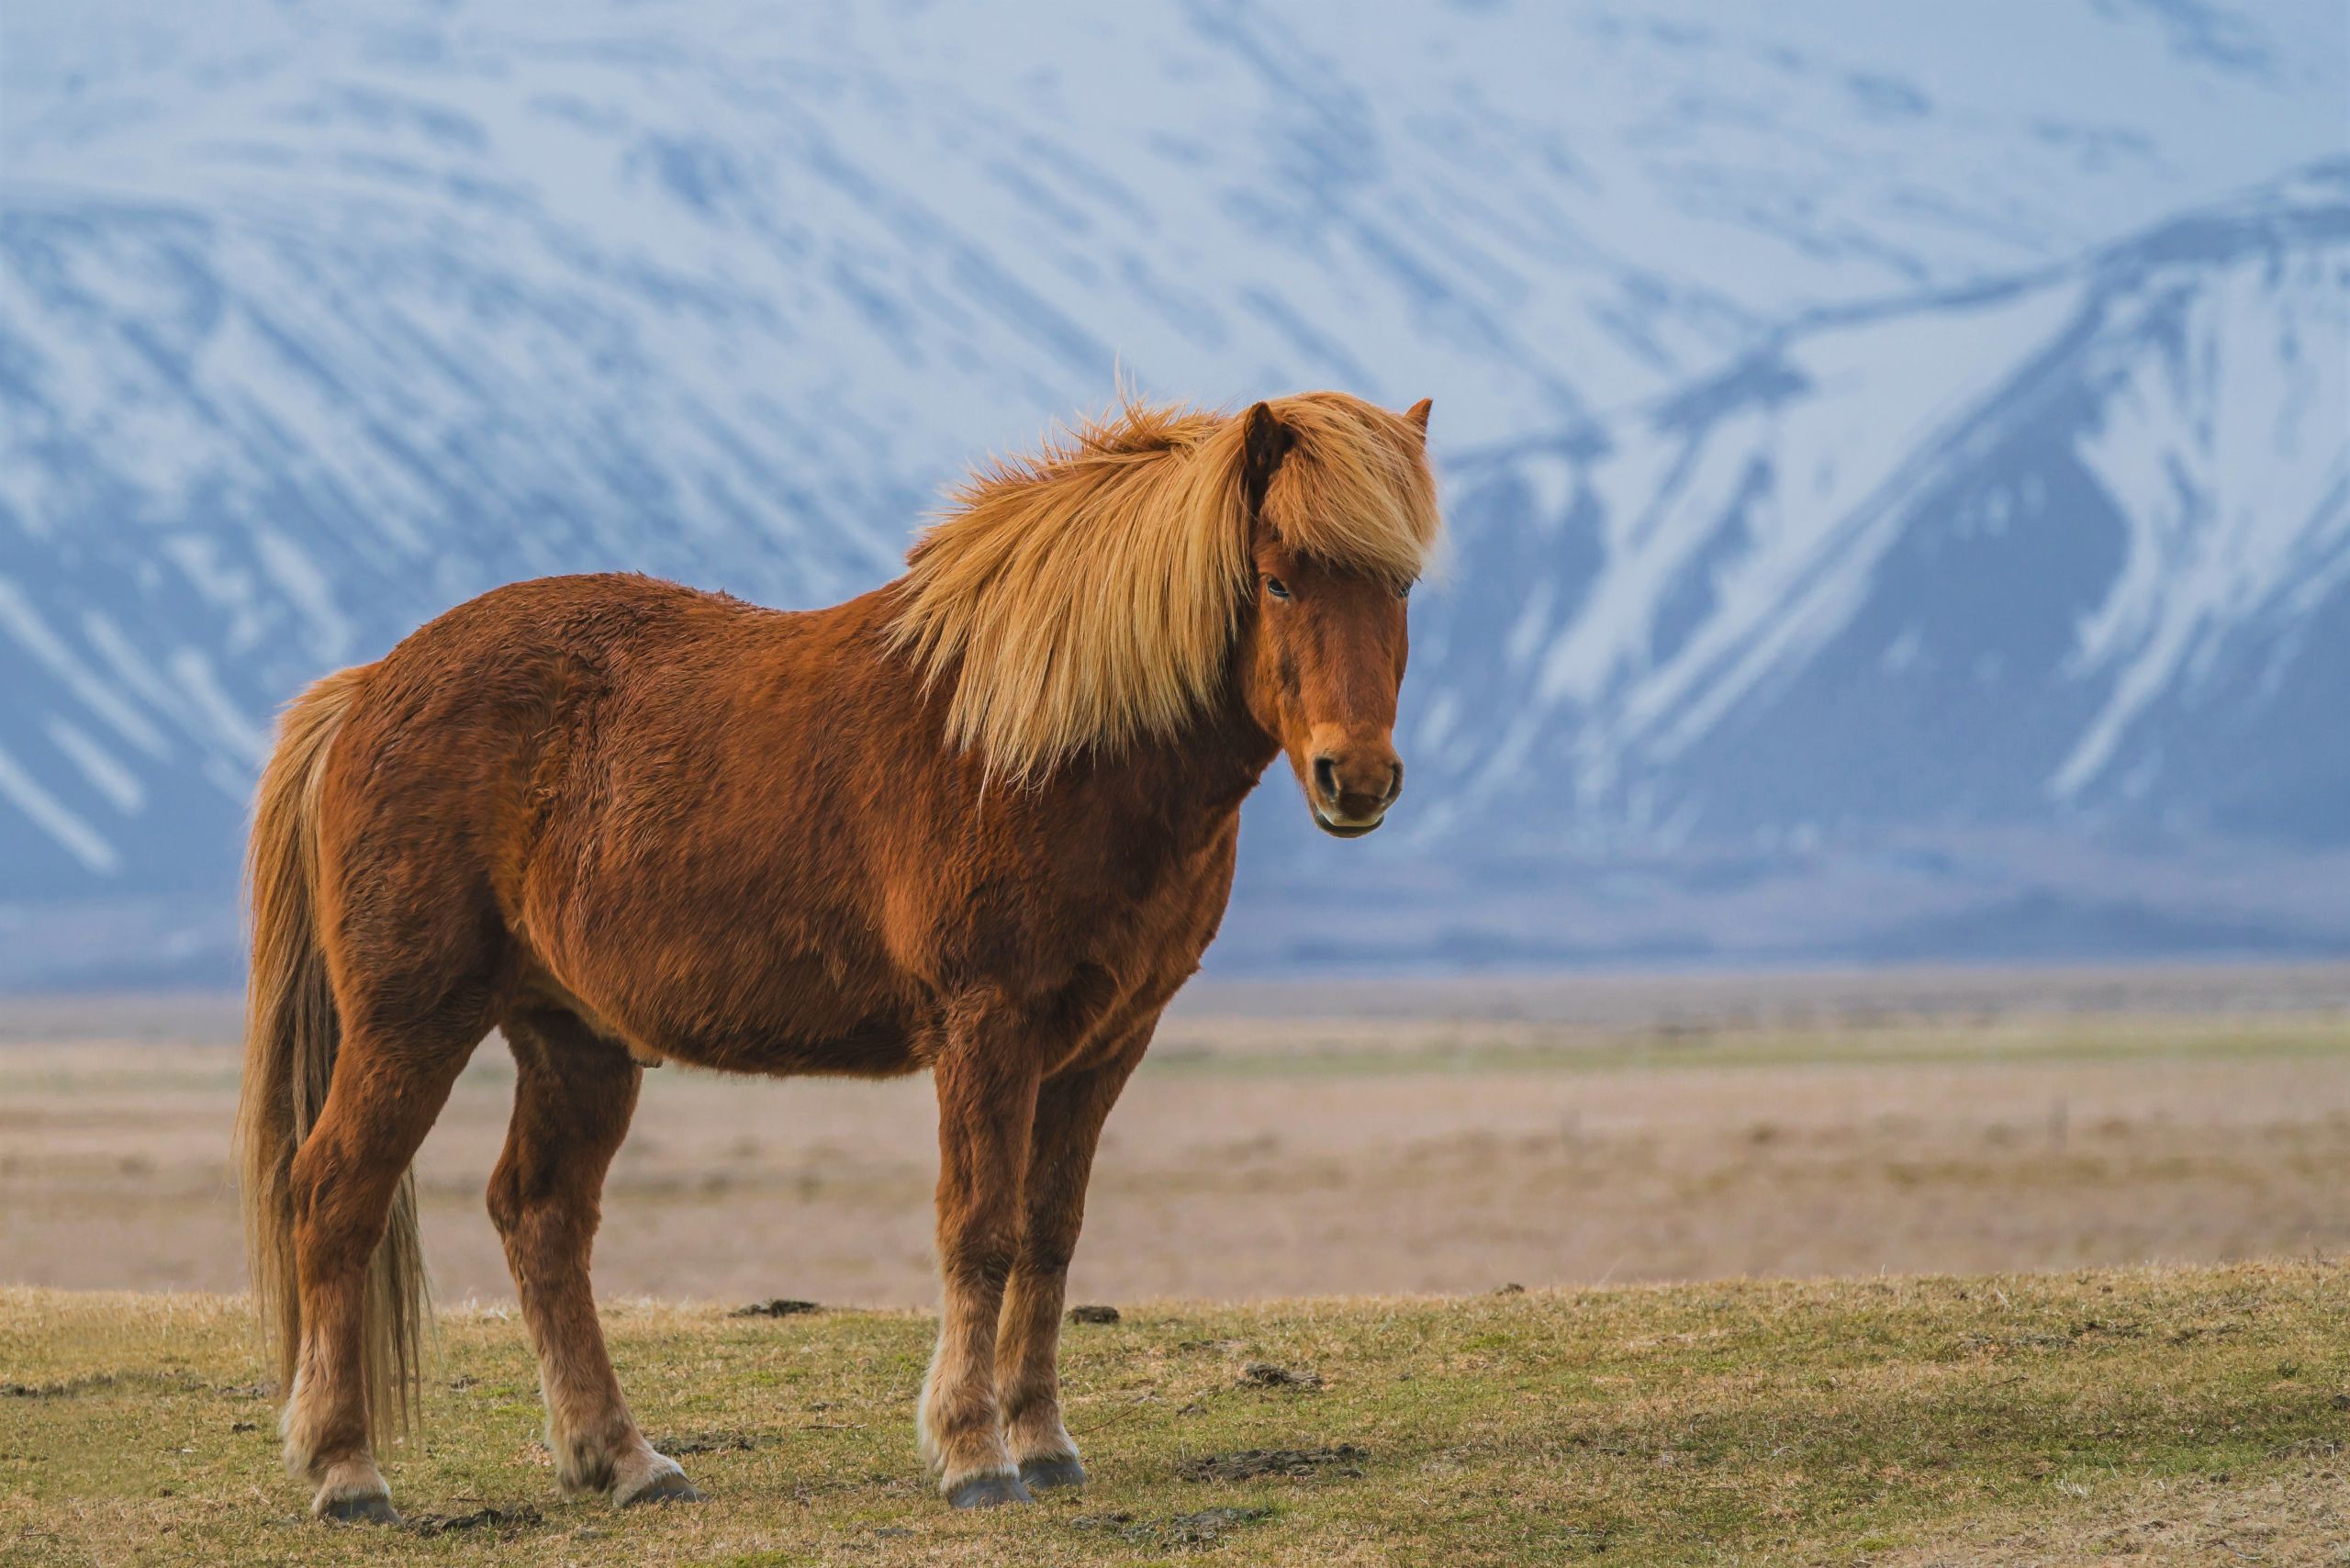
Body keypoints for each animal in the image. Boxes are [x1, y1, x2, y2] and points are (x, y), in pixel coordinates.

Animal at [242, 390, 1447, 1523]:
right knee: (337, 1191)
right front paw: (974, 1454)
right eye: (1279, 580)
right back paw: (346, 1470)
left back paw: (624, 1462)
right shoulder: (987, 1024)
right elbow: (981, 1229)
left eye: (1398, 588)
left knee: (540, 1217)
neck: (1051, 741)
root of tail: (370, 685)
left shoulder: (1107, 1042)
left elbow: (1050, 1236)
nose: (1357, 777)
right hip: (412, 1019)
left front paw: (1044, 1442)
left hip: (574, 1039)